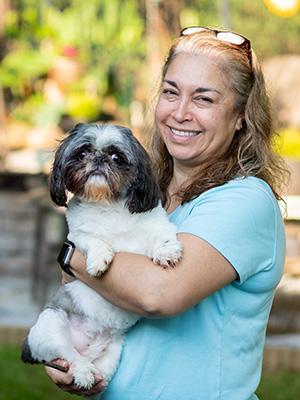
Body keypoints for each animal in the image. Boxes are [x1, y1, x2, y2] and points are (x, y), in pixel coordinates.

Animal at [21, 122, 183, 394]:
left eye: (117, 157)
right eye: (83, 153)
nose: (98, 159)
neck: (107, 204)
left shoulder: (156, 223)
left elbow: (161, 236)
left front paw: (166, 252)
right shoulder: (76, 235)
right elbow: (92, 239)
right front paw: (99, 260)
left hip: (113, 352)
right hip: (50, 325)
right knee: (71, 356)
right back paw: (83, 371)